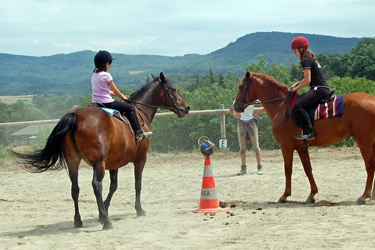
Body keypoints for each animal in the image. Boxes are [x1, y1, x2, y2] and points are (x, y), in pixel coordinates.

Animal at [9, 72, 191, 229]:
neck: (140, 112)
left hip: (73, 160)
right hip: (98, 162)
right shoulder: (140, 158)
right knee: (96, 185)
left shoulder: (114, 162)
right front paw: (137, 210)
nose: (186, 108)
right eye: (173, 89)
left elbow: (114, 186)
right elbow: (137, 184)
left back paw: (79, 221)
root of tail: (75, 115)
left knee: (75, 188)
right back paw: (106, 222)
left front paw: (103, 209)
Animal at [235, 71, 375, 204]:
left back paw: (364, 196)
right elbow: (308, 169)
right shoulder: (301, 147)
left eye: (241, 87)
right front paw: (312, 194)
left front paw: (285, 196)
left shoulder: (286, 146)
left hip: (364, 141)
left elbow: (288, 169)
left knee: (370, 165)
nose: (236, 106)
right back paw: (372, 196)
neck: (281, 106)